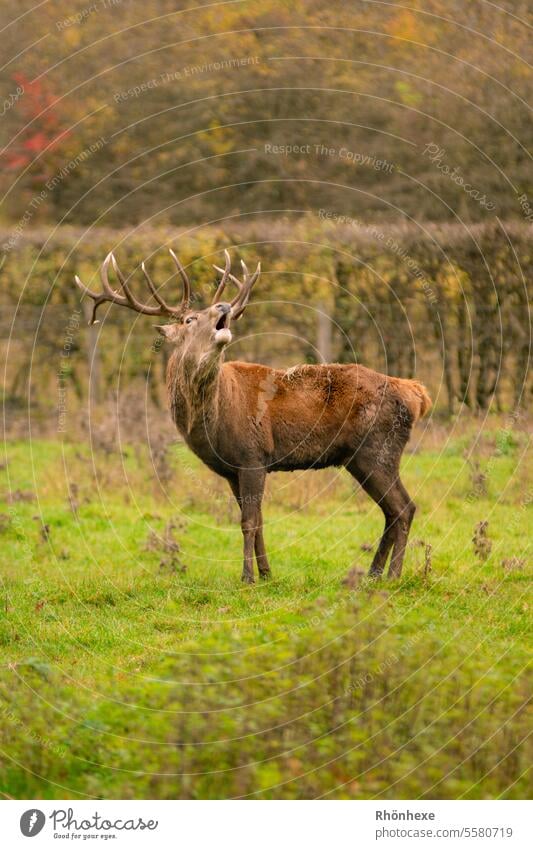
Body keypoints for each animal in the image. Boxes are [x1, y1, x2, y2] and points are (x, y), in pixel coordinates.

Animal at [75, 247, 430, 584]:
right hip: (357, 457)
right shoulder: (233, 470)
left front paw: (246, 577)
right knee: (392, 511)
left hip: (377, 447)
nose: (223, 307)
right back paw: (373, 574)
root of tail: (415, 393)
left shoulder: (253, 456)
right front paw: (267, 574)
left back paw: (393, 575)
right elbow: (257, 521)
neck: (214, 420)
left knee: (404, 507)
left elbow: (247, 521)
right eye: (189, 319)